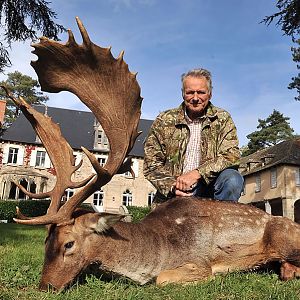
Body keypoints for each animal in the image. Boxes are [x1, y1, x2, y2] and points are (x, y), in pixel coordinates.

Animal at [9, 17, 300, 290]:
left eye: (68, 244)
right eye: (45, 241)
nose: (45, 286)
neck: (158, 250)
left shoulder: (198, 262)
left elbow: (164, 278)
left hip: (284, 233)